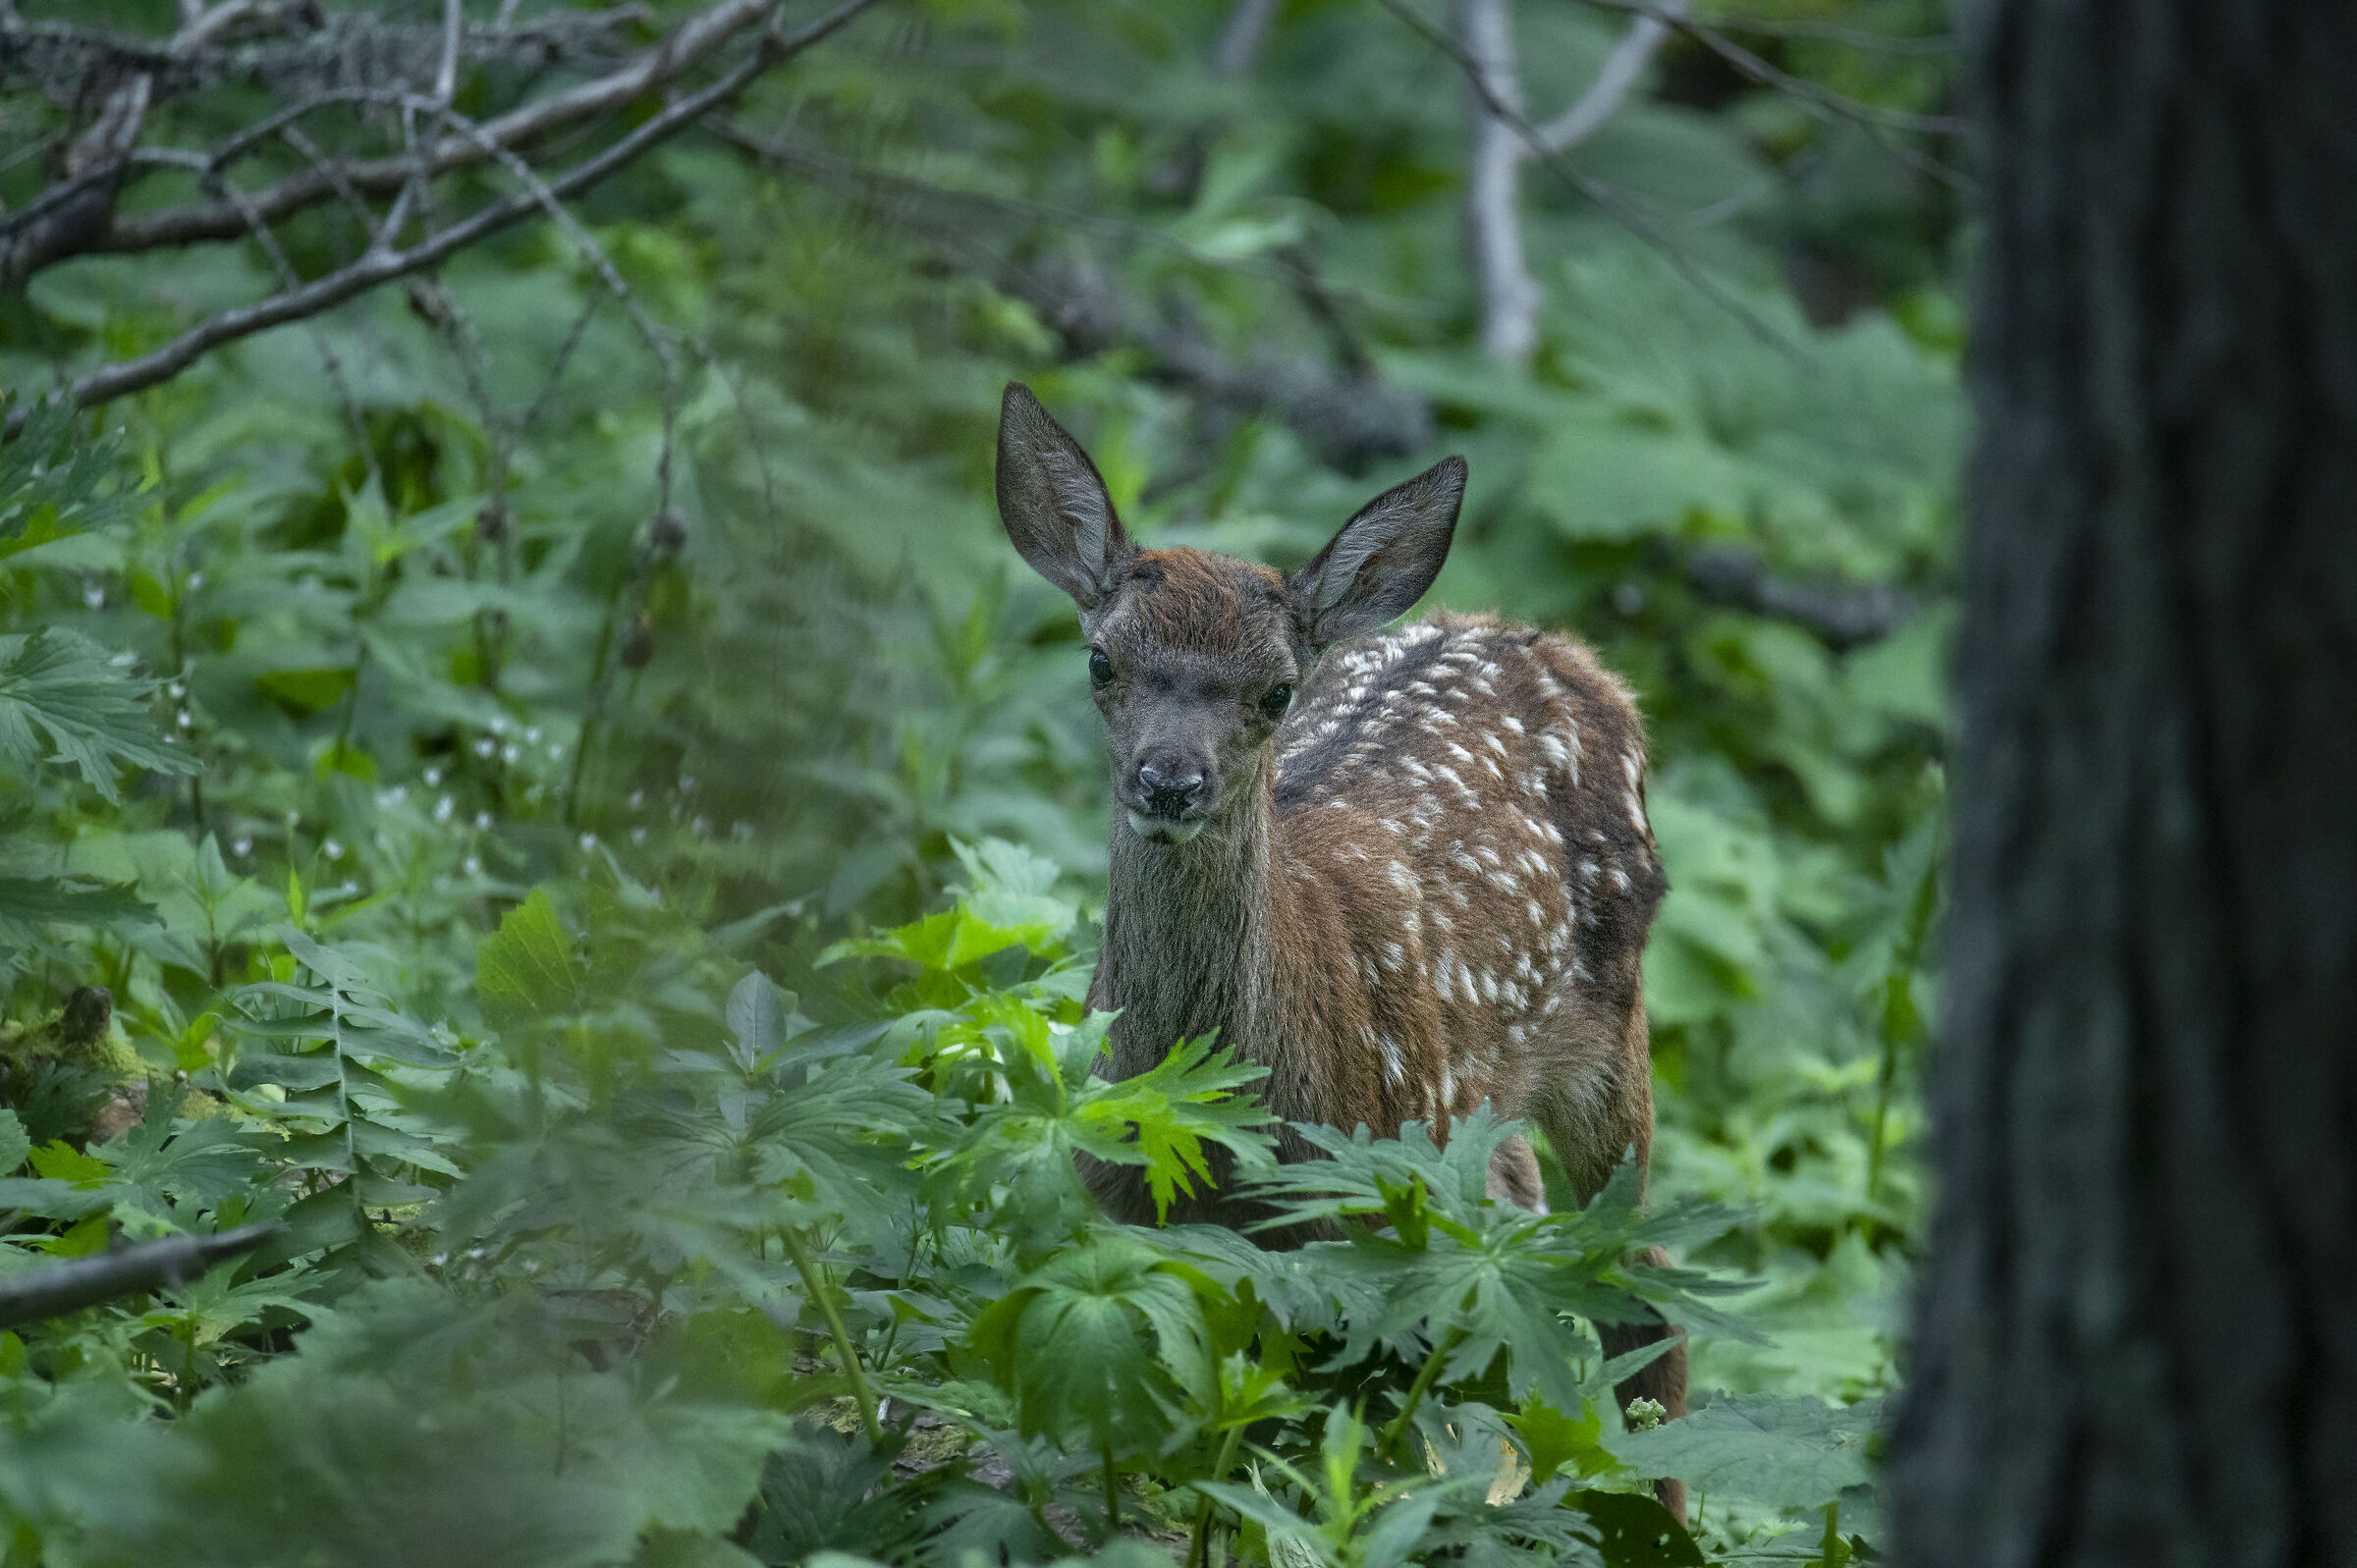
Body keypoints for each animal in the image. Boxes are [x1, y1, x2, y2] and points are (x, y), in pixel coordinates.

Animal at [993, 383, 1687, 1513]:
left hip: (1605, 1029)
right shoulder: (1130, 1217)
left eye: (1275, 691)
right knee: (1520, 1218)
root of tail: (1560, 648)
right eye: (1102, 660)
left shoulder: (1362, 1223)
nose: (1170, 781)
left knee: (1646, 1288)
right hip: (1468, 1106)